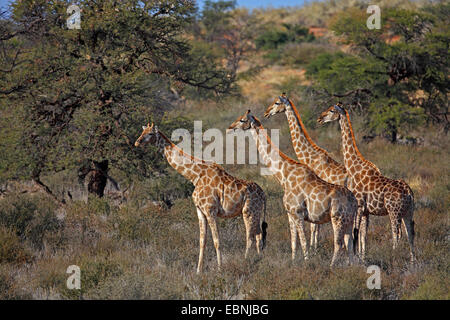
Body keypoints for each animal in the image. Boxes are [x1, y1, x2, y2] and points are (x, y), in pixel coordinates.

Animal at [134, 122, 268, 272]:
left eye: (150, 133)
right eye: (142, 131)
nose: (137, 142)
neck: (195, 176)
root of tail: (263, 194)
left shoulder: (210, 211)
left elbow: (216, 241)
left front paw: (220, 268)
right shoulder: (200, 210)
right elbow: (202, 241)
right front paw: (198, 270)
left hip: (248, 211)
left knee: (250, 237)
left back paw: (246, 261)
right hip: (256, 212)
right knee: (258, 235)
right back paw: (259, 260)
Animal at [229, 111, 358, 266]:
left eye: (242, 120)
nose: (230, 127)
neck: (284, 175)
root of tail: (354, 201)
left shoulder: (298, 213)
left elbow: (304, 242)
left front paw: (307, 262)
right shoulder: (290, 214)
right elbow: (293, 242)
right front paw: (293, 261)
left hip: (338, 218)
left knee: (339, 243)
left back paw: (332, 266)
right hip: (348, 219)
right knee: (349, 242)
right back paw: (350, 266)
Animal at [264, 92, 356, 250]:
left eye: (276, 103)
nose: (266, 113)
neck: (310, 156)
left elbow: (314, 226)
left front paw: (314, 248)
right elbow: (315, 225)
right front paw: (314, 247)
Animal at [316, 105, 414, 262]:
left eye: (331, 110)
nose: (319, 118)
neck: (353, 167)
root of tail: (409, 193)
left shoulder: (360, 205)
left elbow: (356, 233)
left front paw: (356, 258)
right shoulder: (366, 211)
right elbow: (364, 235)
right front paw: (362, 257)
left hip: (394, 211)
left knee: (397, 234)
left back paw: (393, 256)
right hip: (409, 211)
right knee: (411, 233)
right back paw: (413, 261)